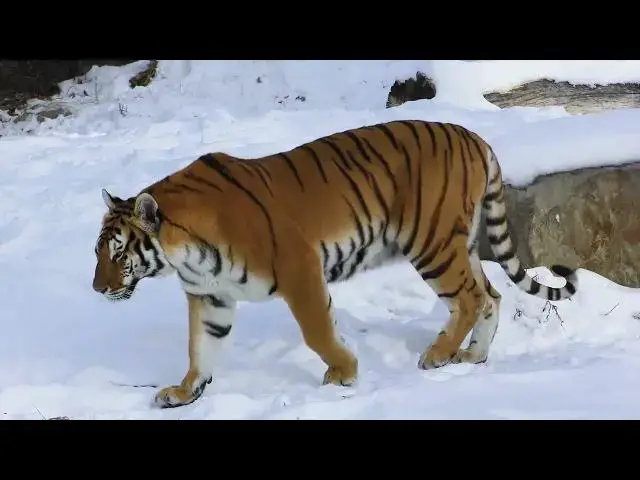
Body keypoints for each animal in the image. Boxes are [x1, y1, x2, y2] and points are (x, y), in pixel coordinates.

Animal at [92, 119, 578, 409]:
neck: (183, 253)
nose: (98, 290)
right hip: (460, 244)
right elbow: (200, 347)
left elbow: (317, 331)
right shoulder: (210, 296)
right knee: (491, 294)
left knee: (471, 297)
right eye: (98, 252)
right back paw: (472, 355)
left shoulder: (299, 268)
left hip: (433, 244)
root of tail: (474, 136)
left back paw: (437, 355)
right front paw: (185, 390)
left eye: (118, 253)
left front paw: (343, 373)